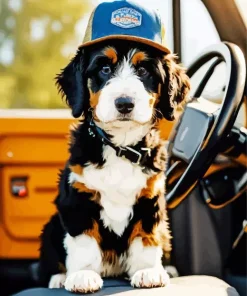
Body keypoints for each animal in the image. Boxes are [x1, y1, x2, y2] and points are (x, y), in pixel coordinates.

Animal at [37, 40, 190, 294]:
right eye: (105, 69)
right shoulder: (78, 197)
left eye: (143, 71)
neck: (121, 147)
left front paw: (147, 271)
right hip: (51, 227)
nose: (125, 103)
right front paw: (83, 275)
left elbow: (147, 236)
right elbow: (84, 241)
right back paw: (58, 278)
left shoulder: (149, 198)